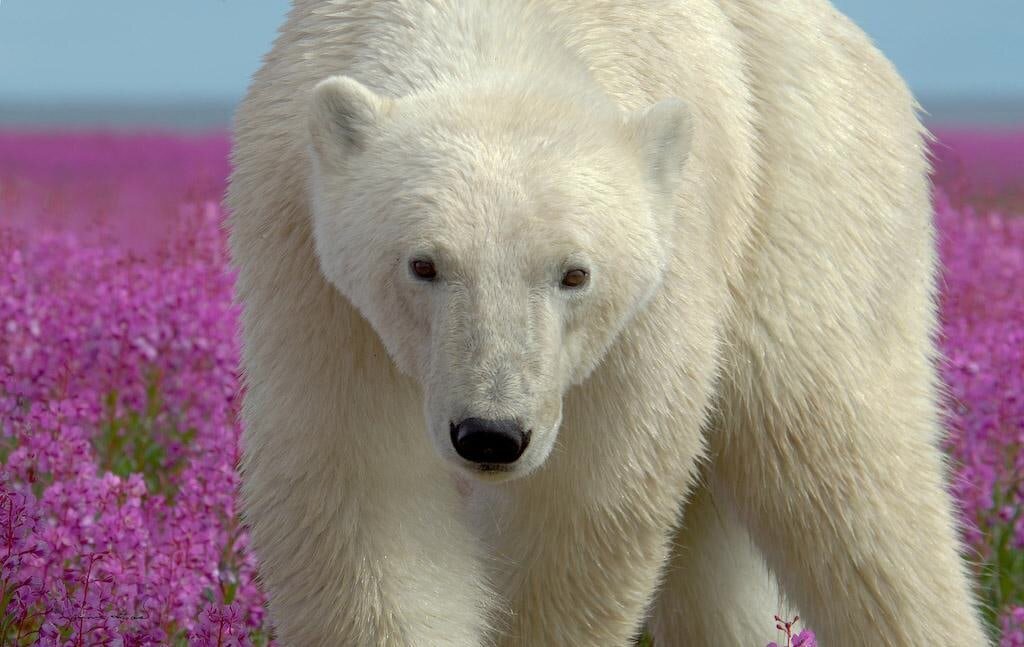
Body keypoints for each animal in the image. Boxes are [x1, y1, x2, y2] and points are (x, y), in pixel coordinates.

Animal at [228, 1, 987, 647]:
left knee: (848, 478)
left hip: (809, 203)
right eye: (423, 264)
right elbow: (364, 493)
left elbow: (585, 504)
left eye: (574, 273)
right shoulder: (315, 282)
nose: (491, 435)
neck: (495, 28)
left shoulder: (658, 287)